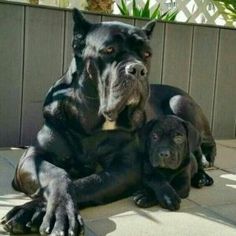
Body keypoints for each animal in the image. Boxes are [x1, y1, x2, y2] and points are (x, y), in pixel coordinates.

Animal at [1, 8, 158, 235]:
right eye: (109, 49)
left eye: (147, 54)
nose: (137, 69)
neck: (90, 124)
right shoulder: (32, 158)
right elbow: (58, 174)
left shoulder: (126, 168)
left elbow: (87, 183)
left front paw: (36, 210)